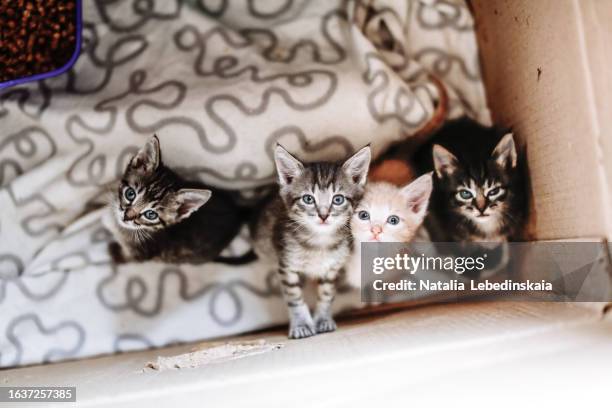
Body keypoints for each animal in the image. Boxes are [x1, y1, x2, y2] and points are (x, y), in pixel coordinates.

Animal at [104, 135, 243, 262]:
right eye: (130, 194)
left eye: (151, 214)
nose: (126, 216)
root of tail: (238, 212)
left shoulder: (141, 255)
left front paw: (111, 250)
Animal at [251, 145, 370, 340]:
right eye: (308, 199)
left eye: (338, 199)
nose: (323, 215)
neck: (319, 241)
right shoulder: (286, 264)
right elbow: (294, 296)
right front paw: (301, 324)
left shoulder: (332, 268)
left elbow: (327, 294)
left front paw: (323, 319)